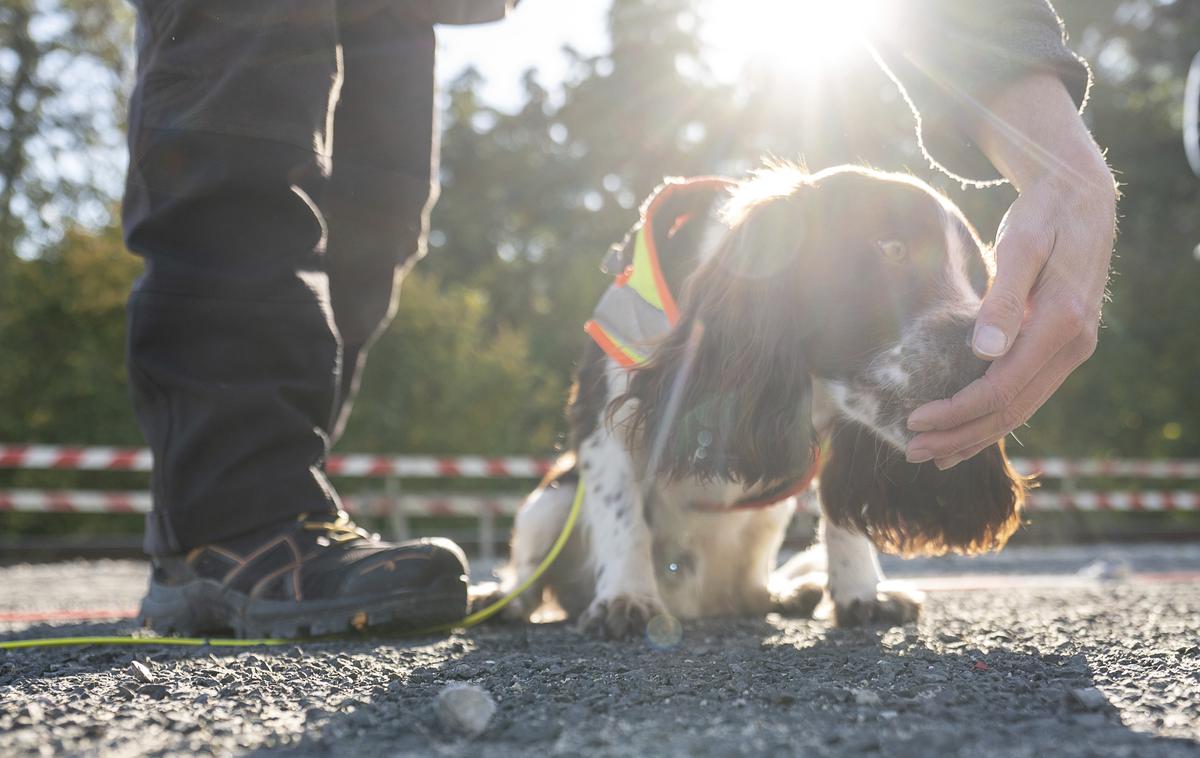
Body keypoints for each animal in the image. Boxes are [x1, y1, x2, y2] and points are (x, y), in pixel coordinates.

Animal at [484, 166, 1022, 638]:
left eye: (983, 281)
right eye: (891, 249)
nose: (991, 358)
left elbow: (841, 516)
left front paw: (862, 593)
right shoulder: (601, 420)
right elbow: (623, 516)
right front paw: (626, 597)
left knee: (751, 590)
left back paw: (787, 593)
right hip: (551, 498)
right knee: (530, 570)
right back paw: (503, 601)